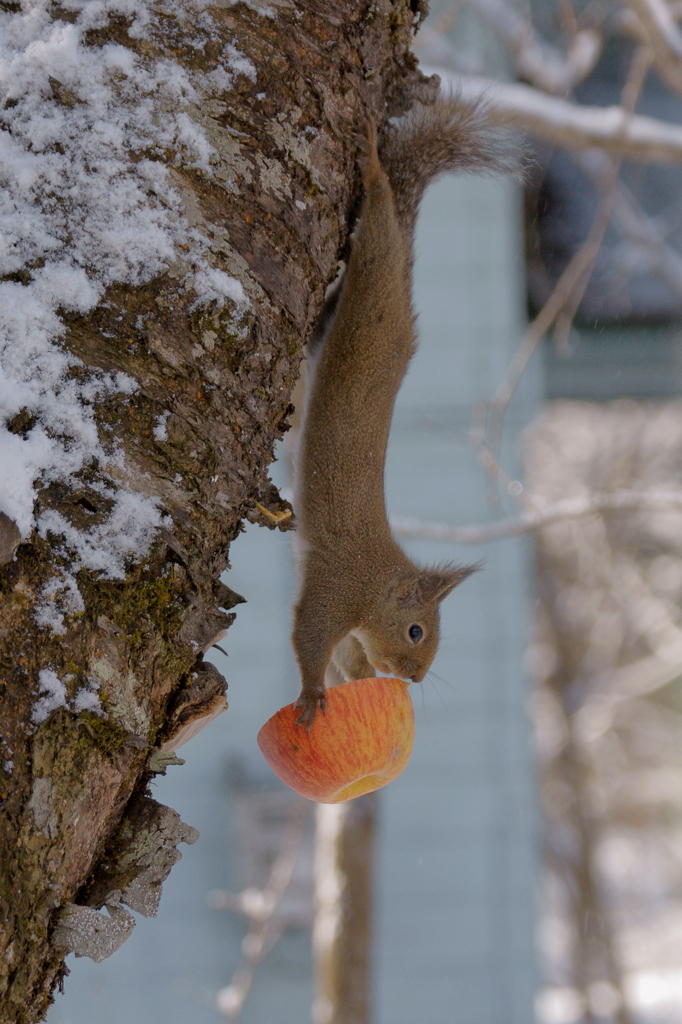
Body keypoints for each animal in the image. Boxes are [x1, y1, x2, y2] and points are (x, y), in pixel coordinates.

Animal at [290, 96, 509, 729]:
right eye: (416, 630)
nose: (412, 679)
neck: (377, 581)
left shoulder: (351, 632)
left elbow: (345, 659)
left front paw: (349, 682)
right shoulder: (337, 585)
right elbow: (310, 637)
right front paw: (311, 693)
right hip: (375, 284)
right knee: (382, 232)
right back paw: (373, 168)